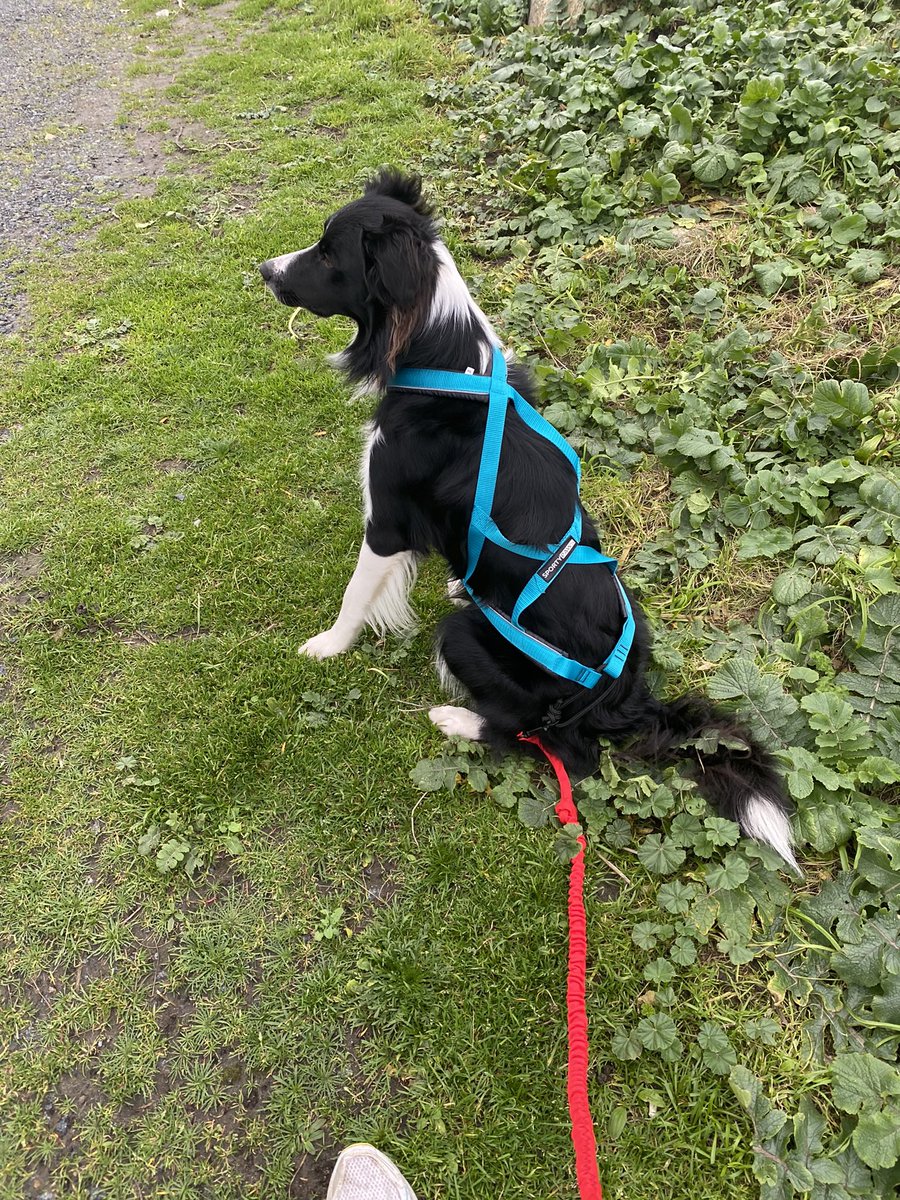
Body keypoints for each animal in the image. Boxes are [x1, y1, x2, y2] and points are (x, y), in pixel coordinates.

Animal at [256, 169, 801, 868]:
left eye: (329, 254)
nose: (265, 269)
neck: (441, 357)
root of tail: (624, 699)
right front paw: (455, 580)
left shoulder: (388, 520)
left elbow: (357, 595)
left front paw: (328, 645)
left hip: (466, 640)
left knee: (548, 742)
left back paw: (456, 720)